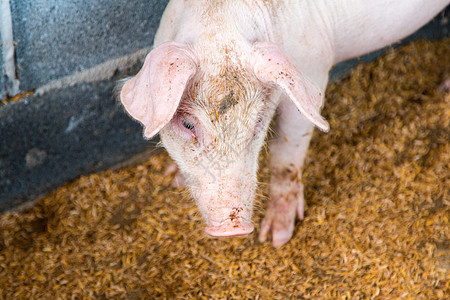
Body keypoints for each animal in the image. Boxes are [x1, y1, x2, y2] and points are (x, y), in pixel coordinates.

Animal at [120, 0, 450, 246]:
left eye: (257, 123)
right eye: (188, 125)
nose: (233, 228)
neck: (219, 17)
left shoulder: (312, 70)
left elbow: (286, 156)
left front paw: (275, 239)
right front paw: (172, 176)